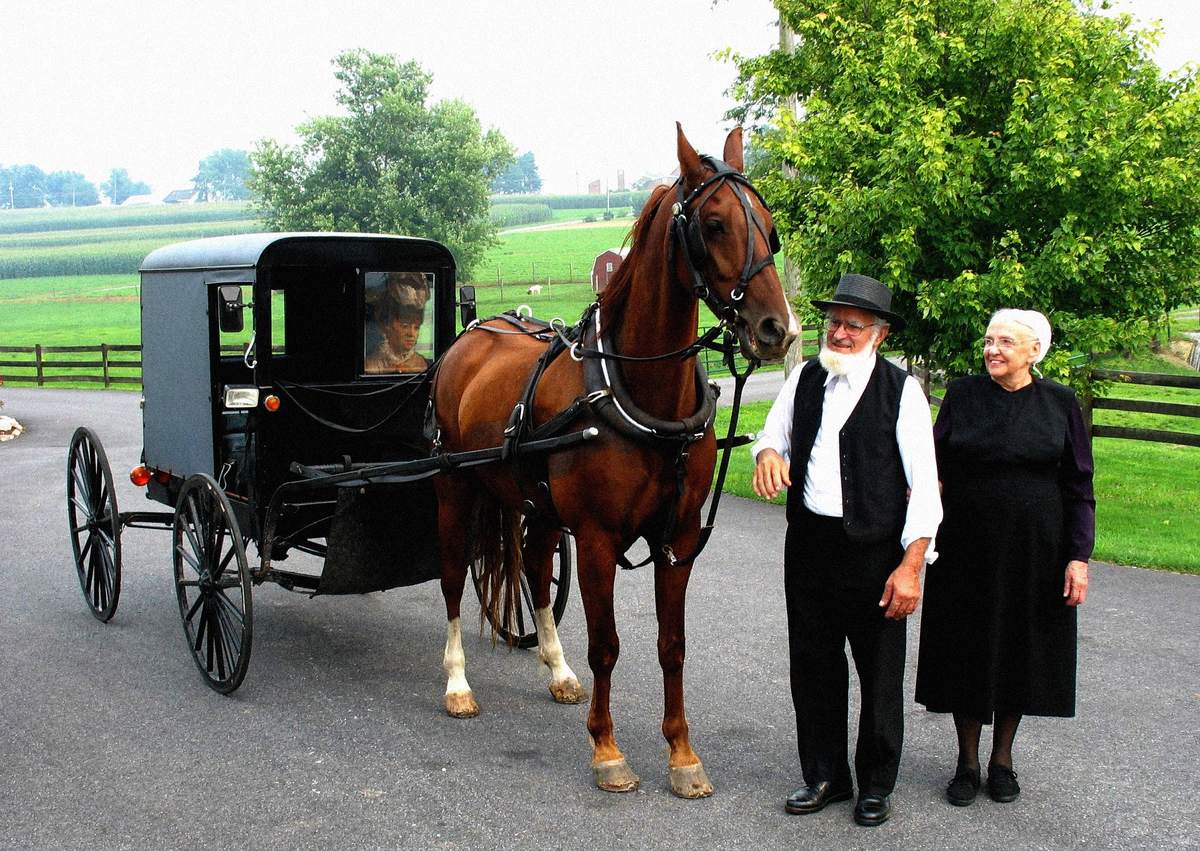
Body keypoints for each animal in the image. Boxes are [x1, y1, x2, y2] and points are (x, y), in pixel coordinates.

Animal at [429, 126, 796, 796]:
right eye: (713, 223)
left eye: (769, 223)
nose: (774, 329)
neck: (638, 391)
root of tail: (472, 334)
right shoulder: (598, 538)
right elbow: (607, 645)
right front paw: (607, 750)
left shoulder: (676, 538)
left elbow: (671, 644)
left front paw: (682, 754)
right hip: (454, 490)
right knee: (450, 579)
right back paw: (458, 683)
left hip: (536, 505)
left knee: (537, 571)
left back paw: (557, 669)